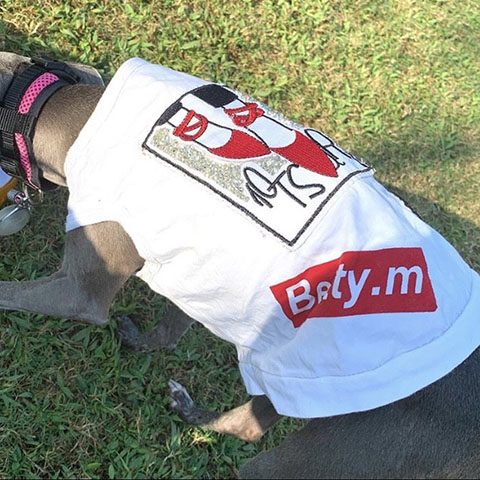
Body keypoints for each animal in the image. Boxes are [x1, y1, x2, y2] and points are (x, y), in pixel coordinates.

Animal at [0, 52, 479, 479]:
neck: (75, 114)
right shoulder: (195, 269)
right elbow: (171, 329)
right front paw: (141, 341)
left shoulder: (83, 286)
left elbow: (34, 294)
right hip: (313, 379)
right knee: (253, 422)